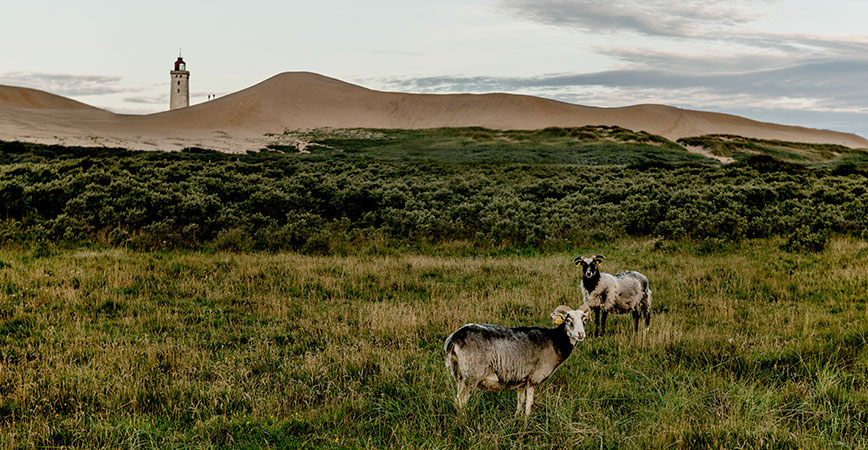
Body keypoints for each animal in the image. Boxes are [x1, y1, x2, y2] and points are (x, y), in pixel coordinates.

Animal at [440, 304, 588, 416]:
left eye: (584, 320)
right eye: (568, 320)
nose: (581, 334)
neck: (555, 341)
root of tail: (453, 339)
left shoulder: (521, 380)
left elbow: (520, 401)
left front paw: (517, 419)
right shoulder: (533, 379)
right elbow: (529, 404)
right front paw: (526, 424)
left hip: (459, 374)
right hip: (472, 376)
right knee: (460, 402)